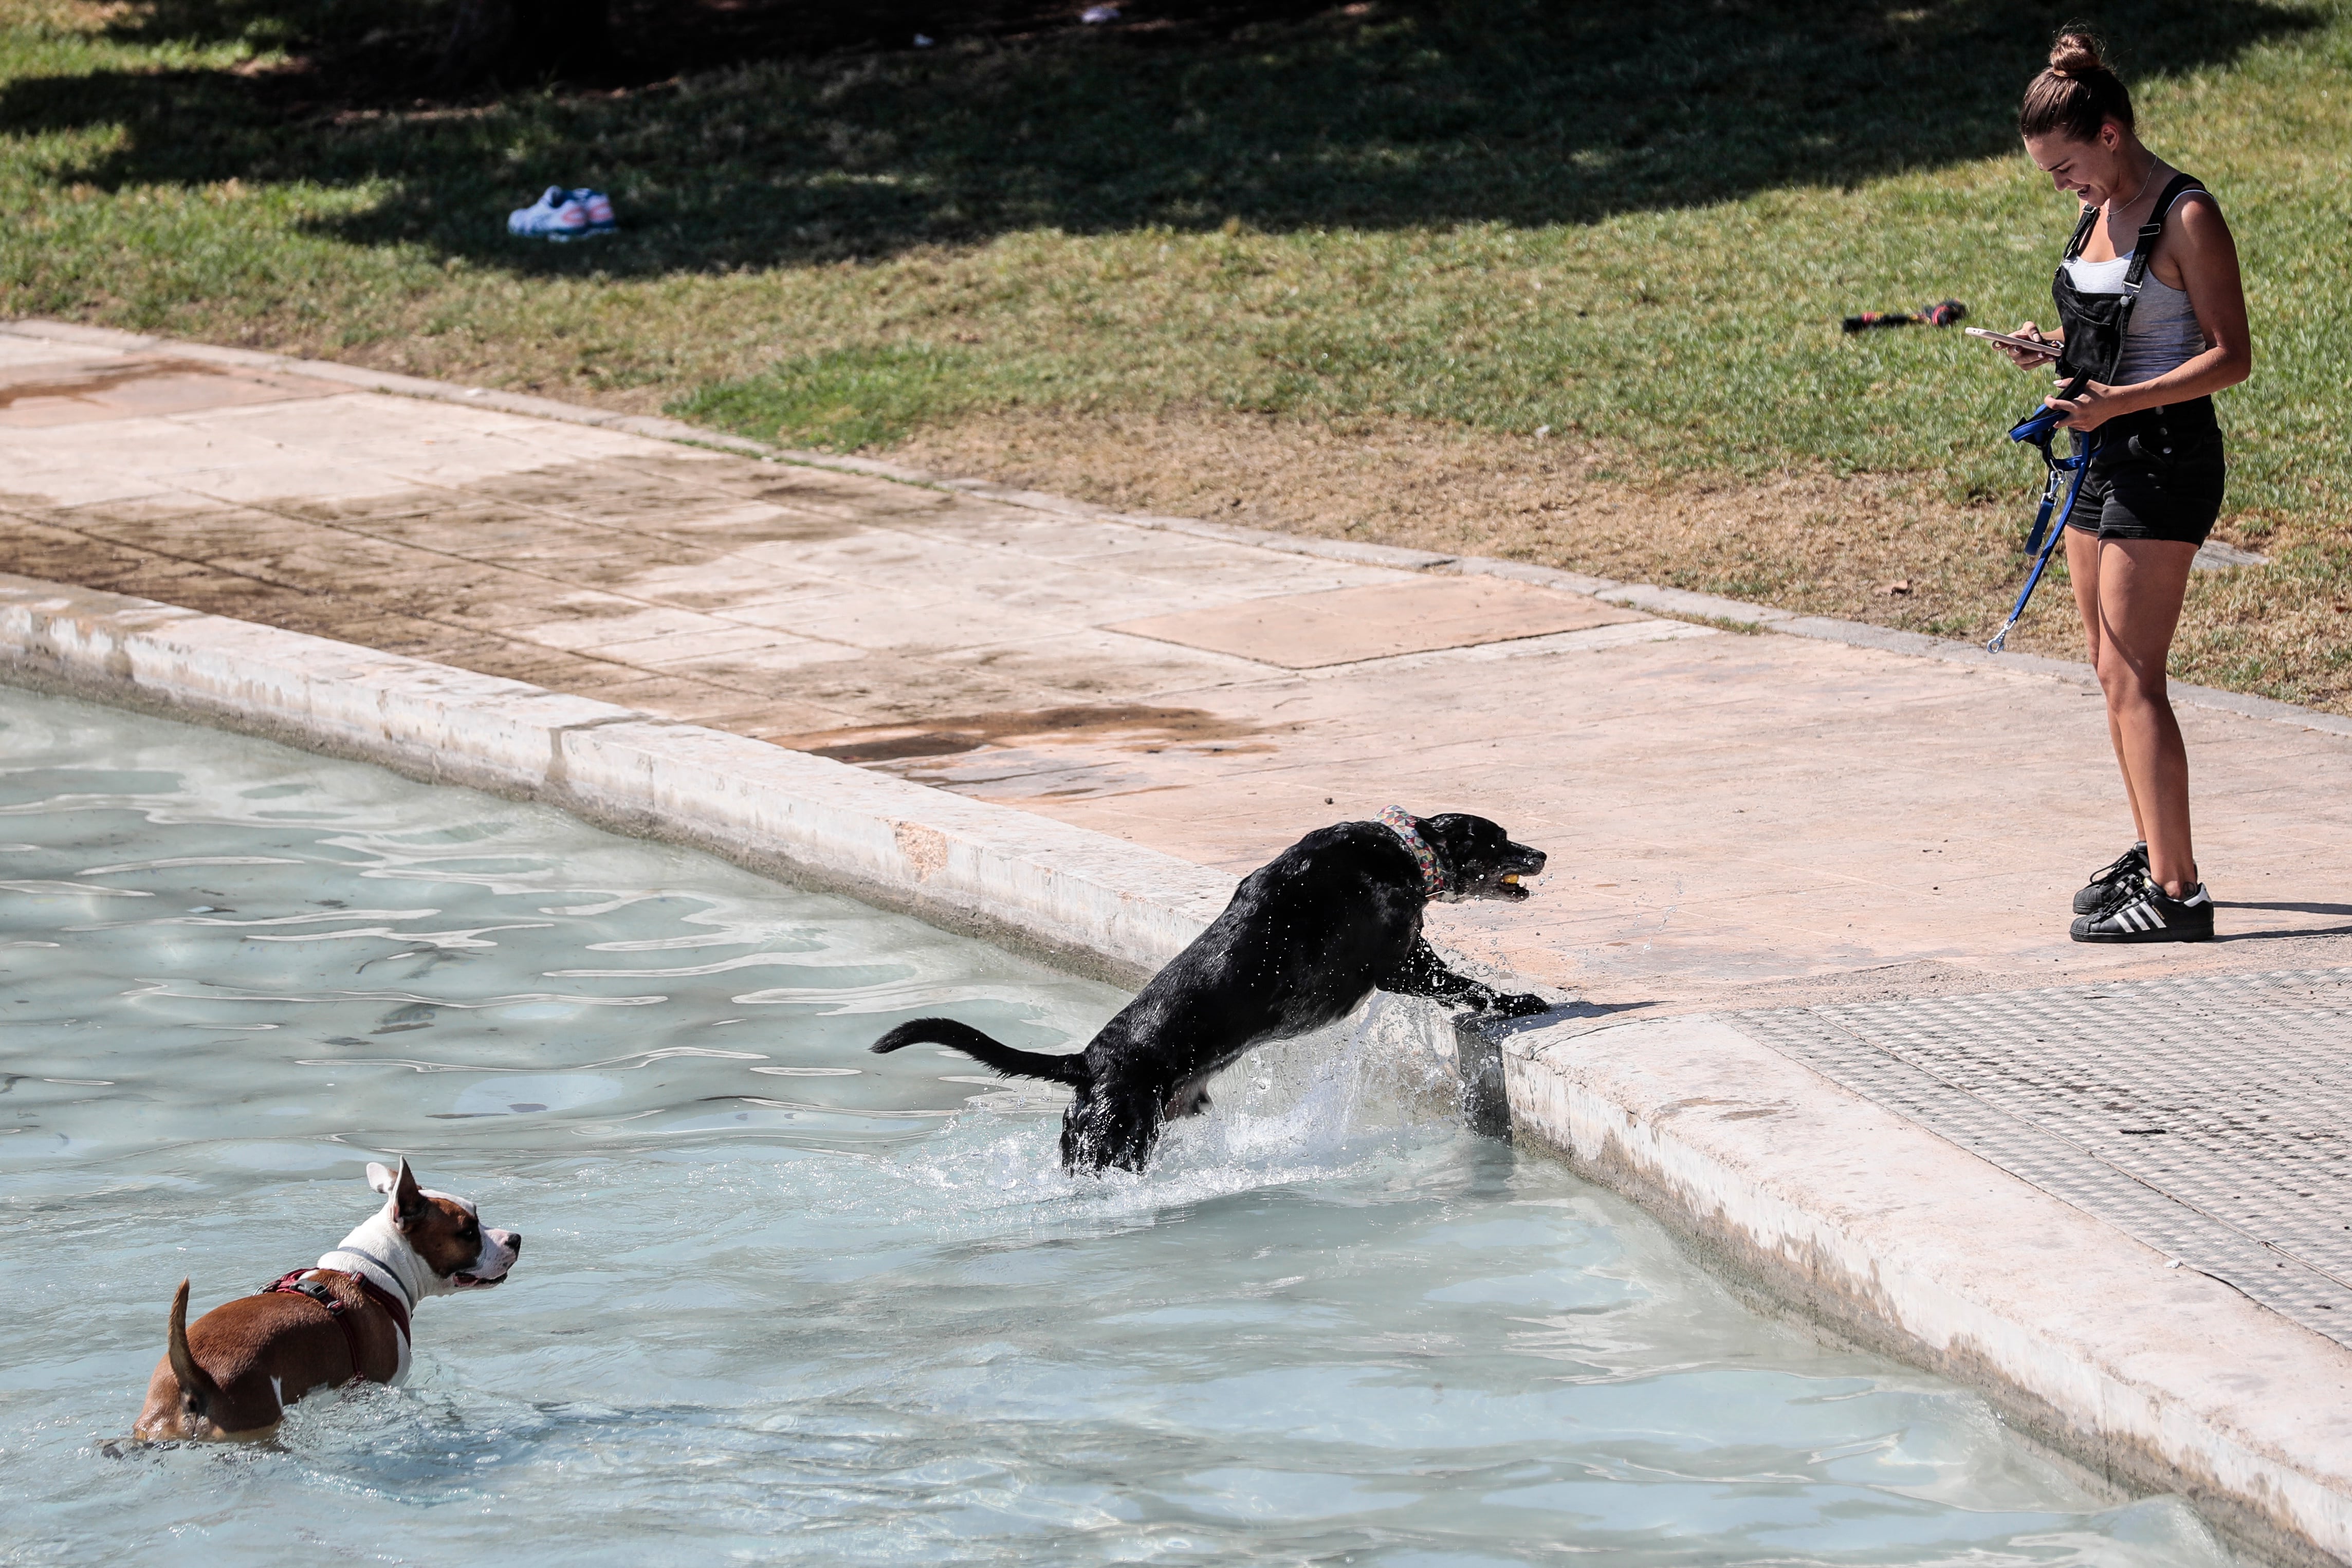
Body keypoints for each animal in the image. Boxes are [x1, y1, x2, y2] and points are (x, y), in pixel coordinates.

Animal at [875, 818, 1552, 1170]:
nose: (1542, 852)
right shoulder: (1402, 964)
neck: (1402, 852)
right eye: (1498, 839)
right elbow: (1469, 987)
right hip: (1117, 1140)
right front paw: (1521, 1003)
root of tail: (1087, 1061)